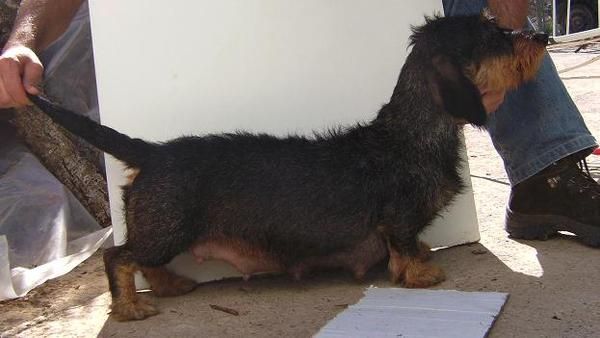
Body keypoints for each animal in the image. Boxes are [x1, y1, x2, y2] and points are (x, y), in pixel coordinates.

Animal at [29, 13, 548, 320]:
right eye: (491, 36)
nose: (541, 34)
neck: (409, 135)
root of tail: (152, 152)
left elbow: (409, 246)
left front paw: (419, 261)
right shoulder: (398, 217)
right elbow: (403, 246)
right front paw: (421, 275)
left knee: (144, 263)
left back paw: (172, 285)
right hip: (165, 231)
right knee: (118, 257)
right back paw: (131, 308)